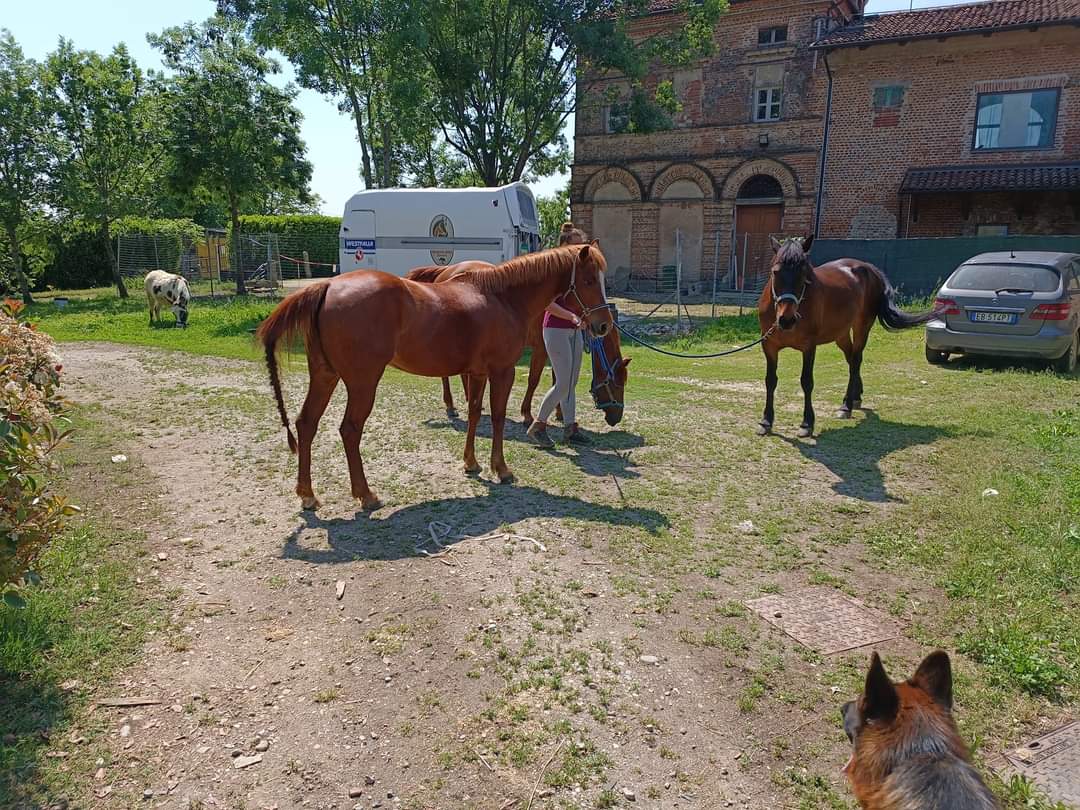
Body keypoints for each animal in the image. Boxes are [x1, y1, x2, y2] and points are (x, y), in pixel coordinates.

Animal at [404, 261, 629, 427]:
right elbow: (534, 380)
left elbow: (558, 379)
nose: (616, 418)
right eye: (617, 384)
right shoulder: (541, 349)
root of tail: (446, 270)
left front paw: (559, 413)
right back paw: (451, 406)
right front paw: (527, 414)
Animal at [757, 235, 934, 438]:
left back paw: (846, 406)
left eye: (804, 275)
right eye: (775, 272)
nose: (787, 320)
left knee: (856, 360)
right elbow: (770, 381)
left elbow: (806, 382)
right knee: (851, 360)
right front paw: (766, 421)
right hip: (841, 334)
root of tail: (869, 269)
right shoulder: (769, 346)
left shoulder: (809, 347)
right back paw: (855, 396)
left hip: (861, 327)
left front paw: (807, 423)